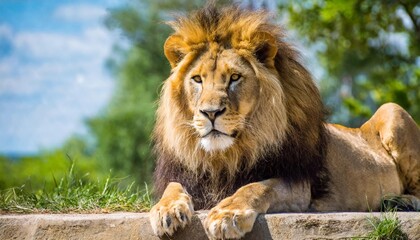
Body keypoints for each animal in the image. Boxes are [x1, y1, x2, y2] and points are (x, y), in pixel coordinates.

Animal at [148, 4, 420, 239]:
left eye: (235, 77)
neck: (224, 157)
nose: (211, 113)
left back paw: (405, 201)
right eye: (197, 79)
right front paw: (166, 210)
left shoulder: (298, 185)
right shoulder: (189, 177)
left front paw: (227, 214)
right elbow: (171, 187)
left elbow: (256, 187)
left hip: (392, 109)